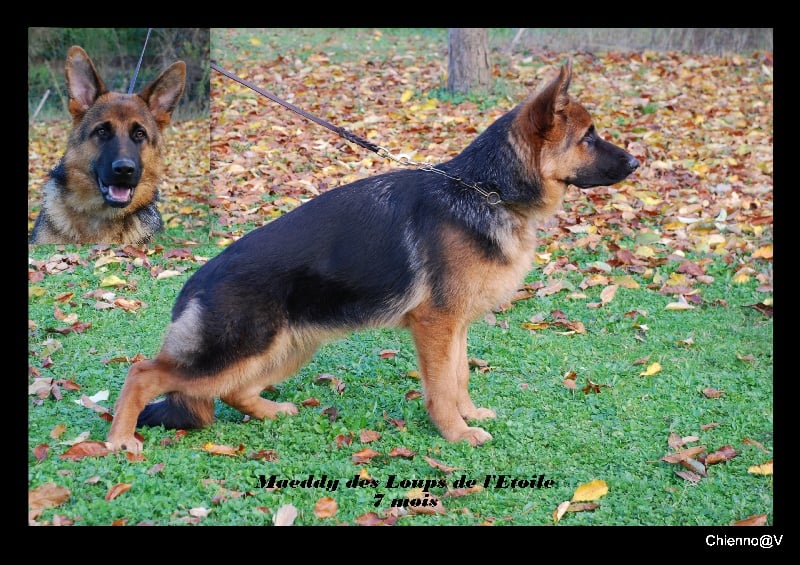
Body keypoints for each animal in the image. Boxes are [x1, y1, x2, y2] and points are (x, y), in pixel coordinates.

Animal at [106, 59, 640, 452]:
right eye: (589, 136)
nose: (637, 162)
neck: (485, 190)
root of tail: (195, 283)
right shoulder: (435, 326)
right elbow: (441, 388)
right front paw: (456, 433)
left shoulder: (454, 328)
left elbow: (460, 376)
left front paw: (468, 416)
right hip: (237, 349)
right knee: (143, 373)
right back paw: (119, 441)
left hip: (286, 348)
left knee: (232, 389)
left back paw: (273, 412)